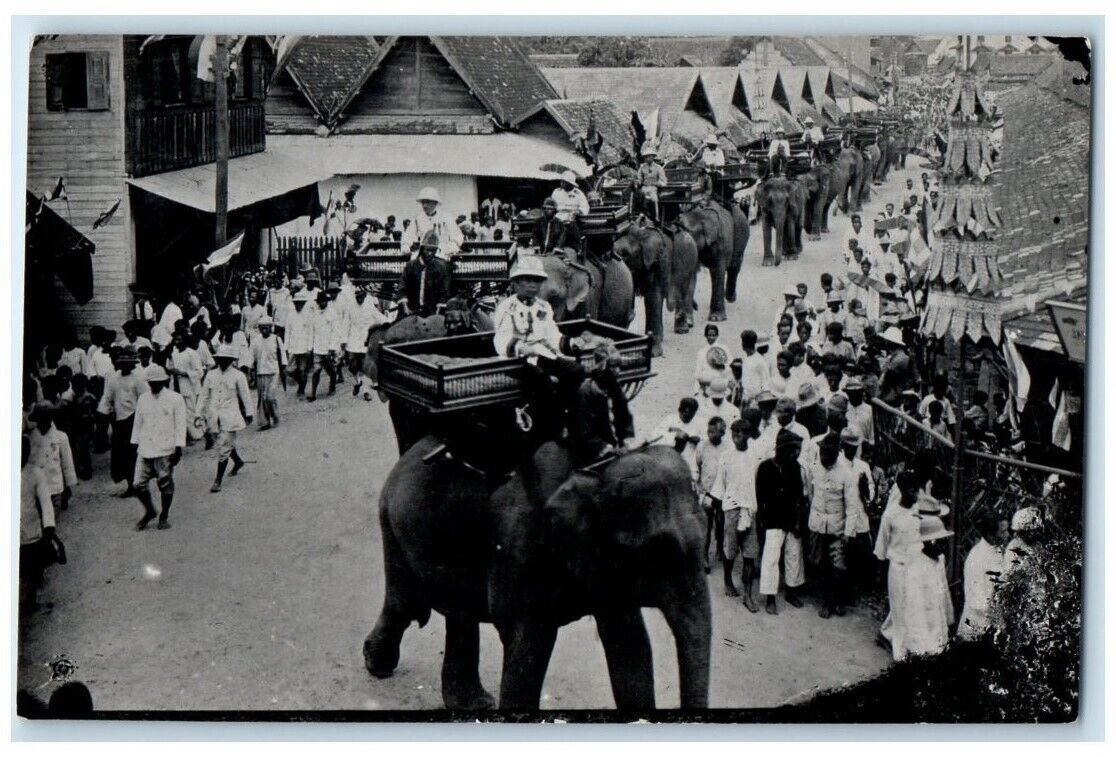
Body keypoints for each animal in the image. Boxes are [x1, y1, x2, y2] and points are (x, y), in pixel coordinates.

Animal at [363, 437, 713, 710]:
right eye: (658, 552)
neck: (594, 469)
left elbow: (629, 644)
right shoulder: (521, 545)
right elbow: (528, 644)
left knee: (456, 613)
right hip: (392, 525)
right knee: (403, 603)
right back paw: (376, 665)